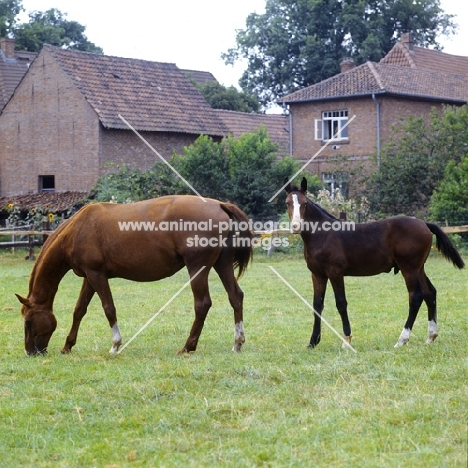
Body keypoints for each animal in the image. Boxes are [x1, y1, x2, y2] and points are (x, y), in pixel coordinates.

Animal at [15, 196, 252, 356]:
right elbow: (79, 310)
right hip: (221, 264)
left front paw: (115, 345)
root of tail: (219, 204)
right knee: (235, 296)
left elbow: (108, 308)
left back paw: (187, 346)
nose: (30, 352)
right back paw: (237, 342)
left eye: (28, 322)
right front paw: (68, 346)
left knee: (202, 304)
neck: (76, 230)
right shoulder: (89, 277)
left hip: (197, 268)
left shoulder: (97, 275)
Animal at [286, 177, 464, 350]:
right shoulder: (317, 275)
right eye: (288, 203)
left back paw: (402, 340)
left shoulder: (335, 272)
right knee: (430, 293)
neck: (323, 234)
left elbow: (341, 303)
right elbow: (317, 305)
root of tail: (424, 224)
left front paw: (346, 340)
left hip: (409, 269)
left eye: (304, 203)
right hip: (419, 268)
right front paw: (313, 342)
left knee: (416, 296)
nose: (296, 226)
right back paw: (431, 336)